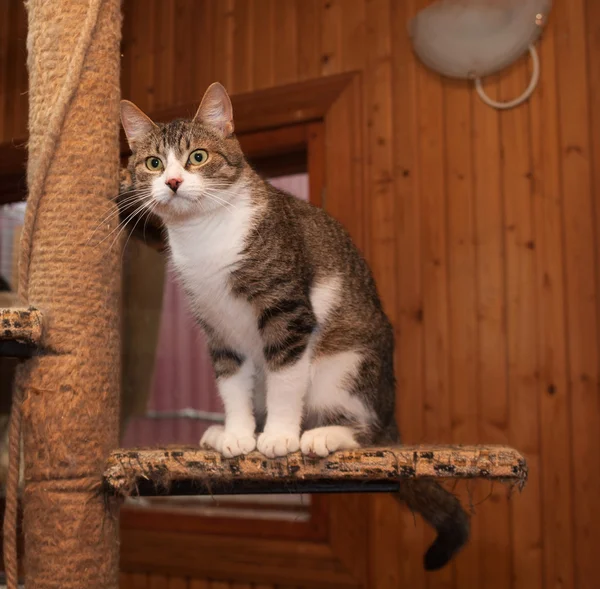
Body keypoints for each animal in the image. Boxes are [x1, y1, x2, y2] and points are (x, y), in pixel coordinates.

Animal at [119, 82, 472, 568]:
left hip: (348, 366)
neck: (206, 237)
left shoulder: (287, 309)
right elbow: (230, 381)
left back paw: (321, 435)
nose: (172, 182)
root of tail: (393, 415)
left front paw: (279, 437)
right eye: (153, 163)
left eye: (198, 157)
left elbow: (285, 377)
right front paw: (238, 434)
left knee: (368, 432)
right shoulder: (216, 325)